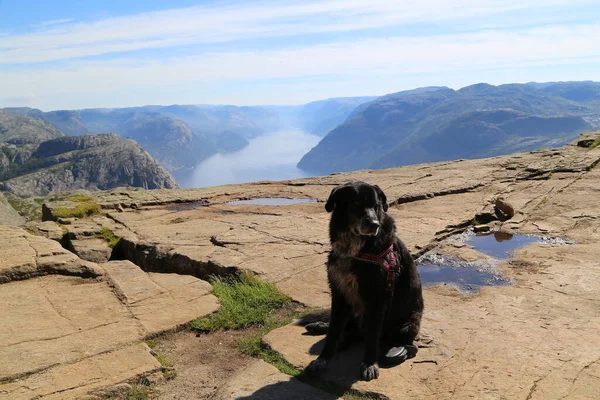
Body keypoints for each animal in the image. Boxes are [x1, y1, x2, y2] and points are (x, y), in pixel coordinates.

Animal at [304, 181, 422, 382]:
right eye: (356, 203)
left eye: (376, 205)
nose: (374, 224)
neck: (355, 248)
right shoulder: (339, 292)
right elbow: (333, 330)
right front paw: (322, 359)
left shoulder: (378, 298)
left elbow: (372, 336)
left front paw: (369, 364)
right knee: (347, 330)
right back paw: (322, 326)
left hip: (409, 322)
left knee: (393, 339)